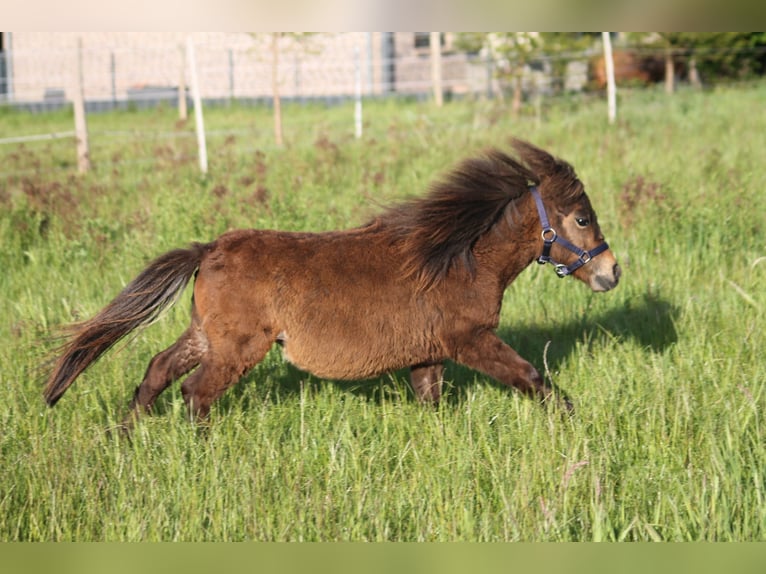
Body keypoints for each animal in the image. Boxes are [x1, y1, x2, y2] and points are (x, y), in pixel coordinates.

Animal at [43, 138, 624, 428]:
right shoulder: (470, 340)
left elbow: (432, 403)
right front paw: (579, 427)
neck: (458, 259)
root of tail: (209, 249)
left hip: (207, 336)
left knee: (158, 371)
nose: (612, 271)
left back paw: (126, 436)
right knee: (195, 392)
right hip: (238, 348)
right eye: (581, 218)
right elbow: (532, 377)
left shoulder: (428, 353)